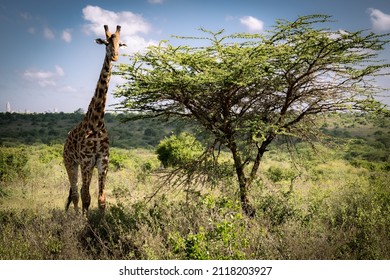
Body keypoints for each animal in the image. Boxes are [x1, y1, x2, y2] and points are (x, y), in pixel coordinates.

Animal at [63, 25, 125, 214]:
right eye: (106, 42)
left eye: (120, 44)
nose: (115, 56)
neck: (96, 121)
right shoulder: (86, 160)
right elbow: (86, 197)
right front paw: (84, 220)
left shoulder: (102, 159)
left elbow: (101, 199)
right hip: (70, 162)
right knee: (77, 193)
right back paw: (75, 216)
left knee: (79, 192)